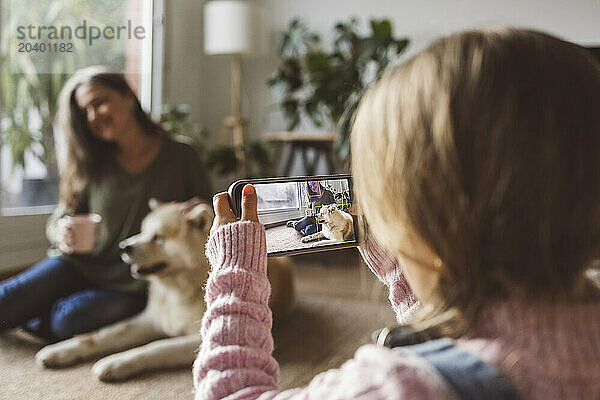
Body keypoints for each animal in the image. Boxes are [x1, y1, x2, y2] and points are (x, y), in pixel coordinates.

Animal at [35, 200, 296, 382]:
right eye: (142, 231)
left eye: (158, 237)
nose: (123, 246)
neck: (176, 290)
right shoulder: (150, 319)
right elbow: (99, 335)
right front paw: (59, 350)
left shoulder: (199, 339)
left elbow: (155, 347)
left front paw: (116, 362)